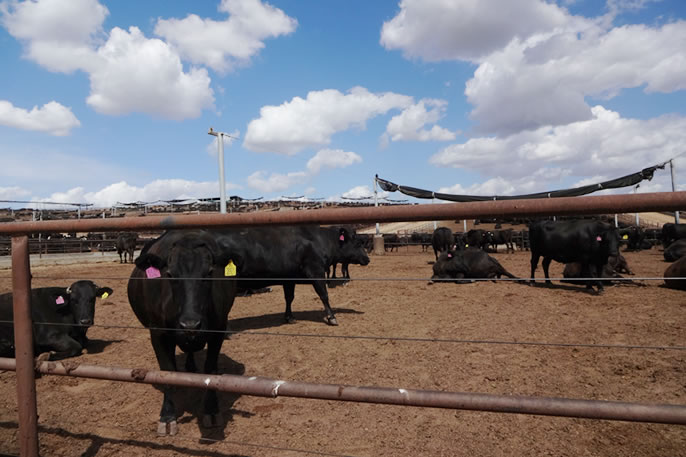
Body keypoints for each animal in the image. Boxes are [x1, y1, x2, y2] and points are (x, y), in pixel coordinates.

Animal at [129, 230, 239, 432]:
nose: (190, 324)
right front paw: (167, 415)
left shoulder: (219, 329)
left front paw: (211, 410)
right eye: (170, 274)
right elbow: (167, 371)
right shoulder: (157, 332)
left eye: (209, 272)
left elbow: (210, 369)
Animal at [218, 224, 374, 324]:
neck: (319, 240)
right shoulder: (316, 271)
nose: (367, 259)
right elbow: (324, 295)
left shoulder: (289, 278)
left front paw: (289, 317)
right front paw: (332, 317)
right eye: (358, 243)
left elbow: (289, 297)